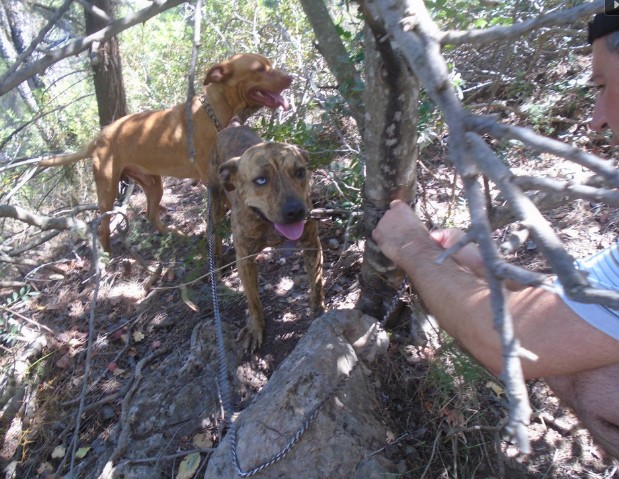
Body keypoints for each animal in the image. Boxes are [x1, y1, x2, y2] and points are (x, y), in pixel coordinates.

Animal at [40, 53, 294, 251]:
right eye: (259, 69)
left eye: (270, 64)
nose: (290, 77)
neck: (211, 111)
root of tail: (99, 137)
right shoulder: (212, 181)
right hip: (107, 191)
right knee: (103, 225)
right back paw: (107, 255)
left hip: (154, 184)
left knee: (151, 214)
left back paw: (173, 234)